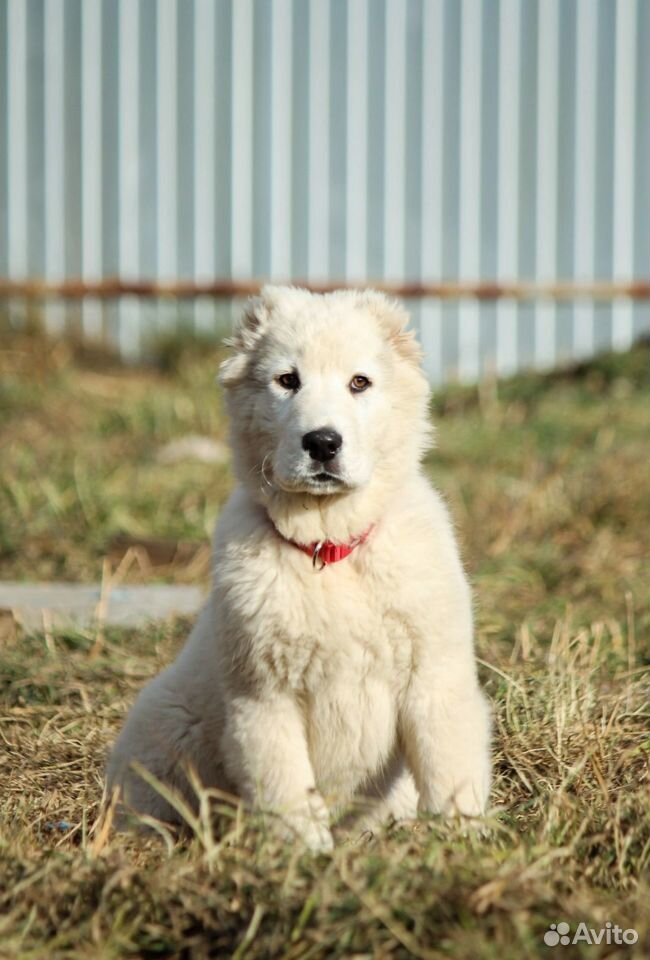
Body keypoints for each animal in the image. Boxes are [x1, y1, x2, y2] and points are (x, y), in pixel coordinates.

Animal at [107, 284, 492, 848]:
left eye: (360, 382)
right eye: (288, 380)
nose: (323, 443)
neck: (329, 549)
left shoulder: (434, 678)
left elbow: (449, 772)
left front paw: (461, 844)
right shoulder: (263, 699)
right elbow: (287, 790)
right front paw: (306, 856)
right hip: (161, 728)